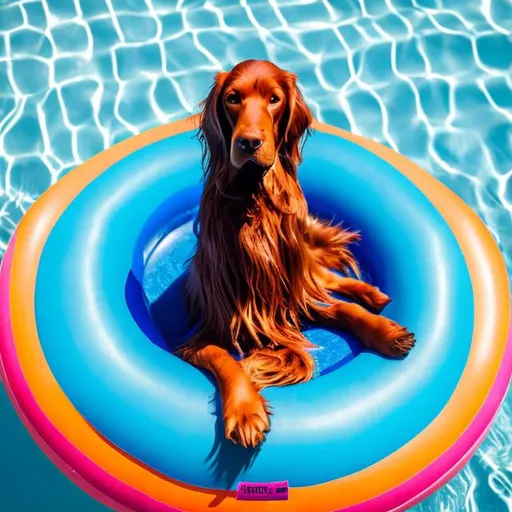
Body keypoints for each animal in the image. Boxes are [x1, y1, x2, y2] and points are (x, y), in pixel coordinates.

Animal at [176, 60, 416, 448]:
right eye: (232, 98)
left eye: (274, 99)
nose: (249, 142)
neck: (253, 207)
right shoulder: (202, 335)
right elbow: (225, 359)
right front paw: (246, 410)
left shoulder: (292, 300)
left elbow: (343, 308)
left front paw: (385, 331)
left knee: (326, 276)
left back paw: (371, 293)